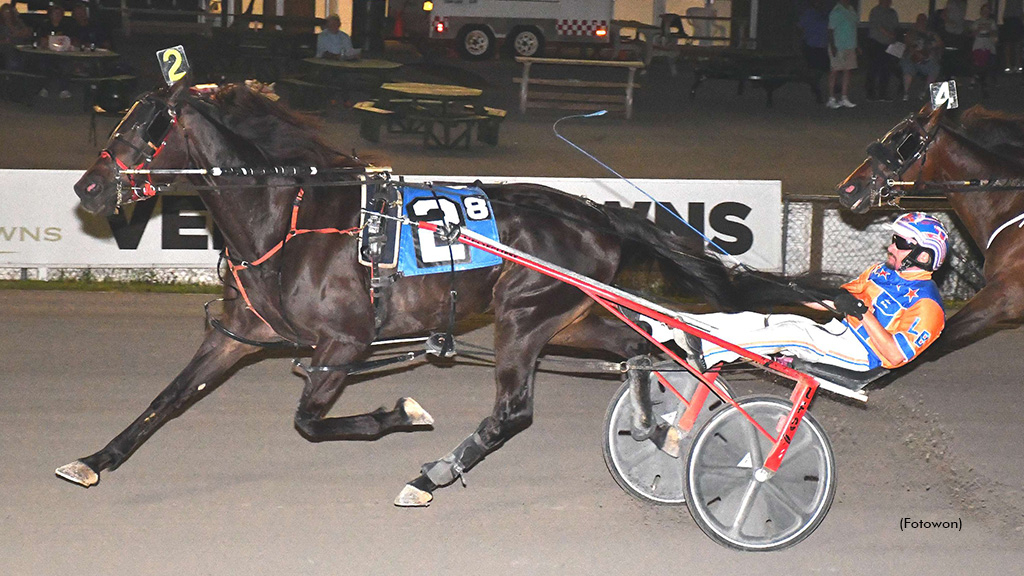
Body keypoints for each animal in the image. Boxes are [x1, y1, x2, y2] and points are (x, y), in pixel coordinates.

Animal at [64, 79, 802, 502]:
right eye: (119, 122)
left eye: (145, 130)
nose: (87, 188)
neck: (286, 220)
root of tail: (592, 213)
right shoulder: (242, 333)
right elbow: (168, 399)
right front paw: (96, 459)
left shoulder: (343, 344)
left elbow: (310, 421)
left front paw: (402, 413)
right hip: (571, 318)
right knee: (651, 347)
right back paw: (663, 424)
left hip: (522, 318)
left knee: (515, 411)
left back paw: (433, 475)